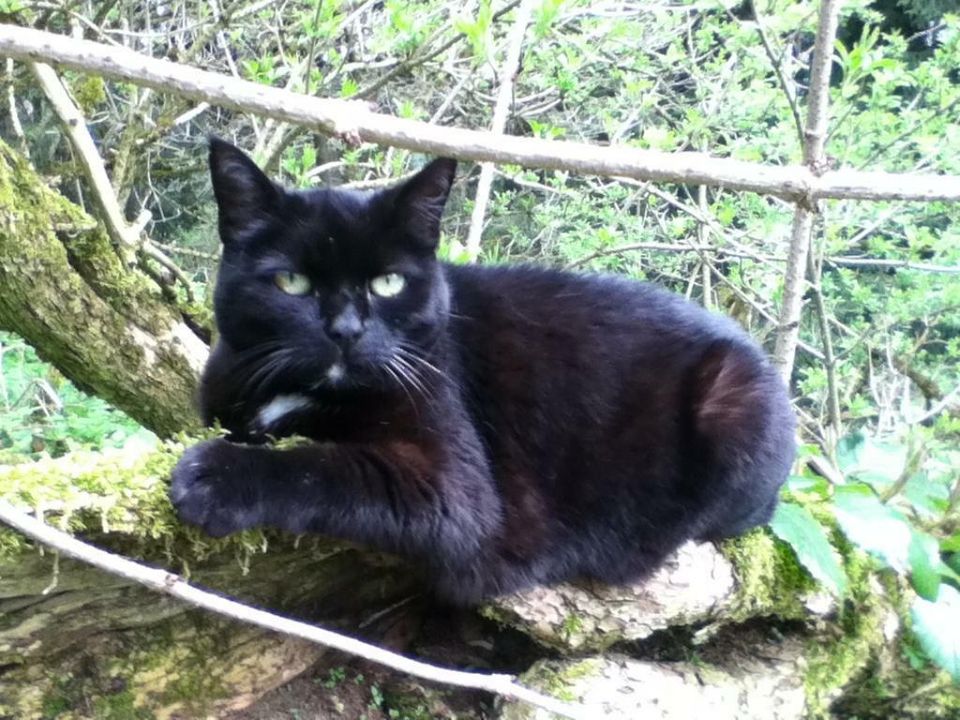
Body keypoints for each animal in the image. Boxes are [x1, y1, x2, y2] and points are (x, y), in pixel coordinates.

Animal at [171, 138, 796, 604]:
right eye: (292, 282)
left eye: (388, 283)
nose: (345, 330)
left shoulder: (453, 488)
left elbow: (323, 467)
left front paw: (217, 475)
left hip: (734, 400)